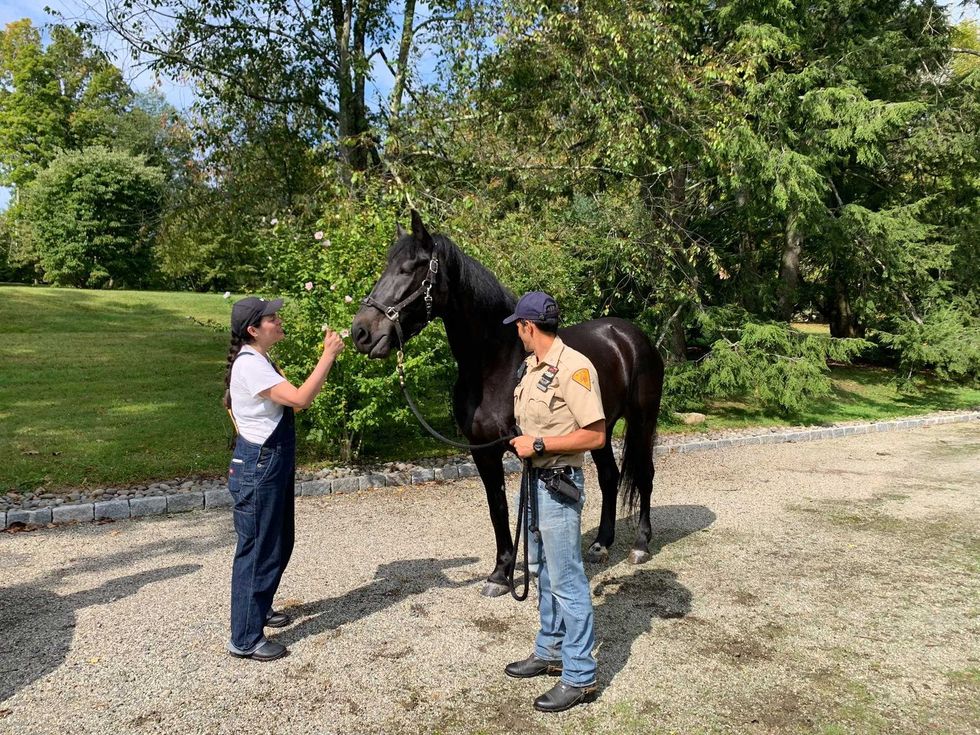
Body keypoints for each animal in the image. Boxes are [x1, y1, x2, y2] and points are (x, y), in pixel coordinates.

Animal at [351, 211, 665, 597]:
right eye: (386, 266)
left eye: (411, 267)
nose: (361, 333)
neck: (495, 364)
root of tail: (632, 337)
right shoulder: (483, 451)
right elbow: (497, 508)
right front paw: (501, 574)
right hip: (600, 430)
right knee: (610, 476)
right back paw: (601, 544)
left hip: (642, 420)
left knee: (644, 474)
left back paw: (640, 545)